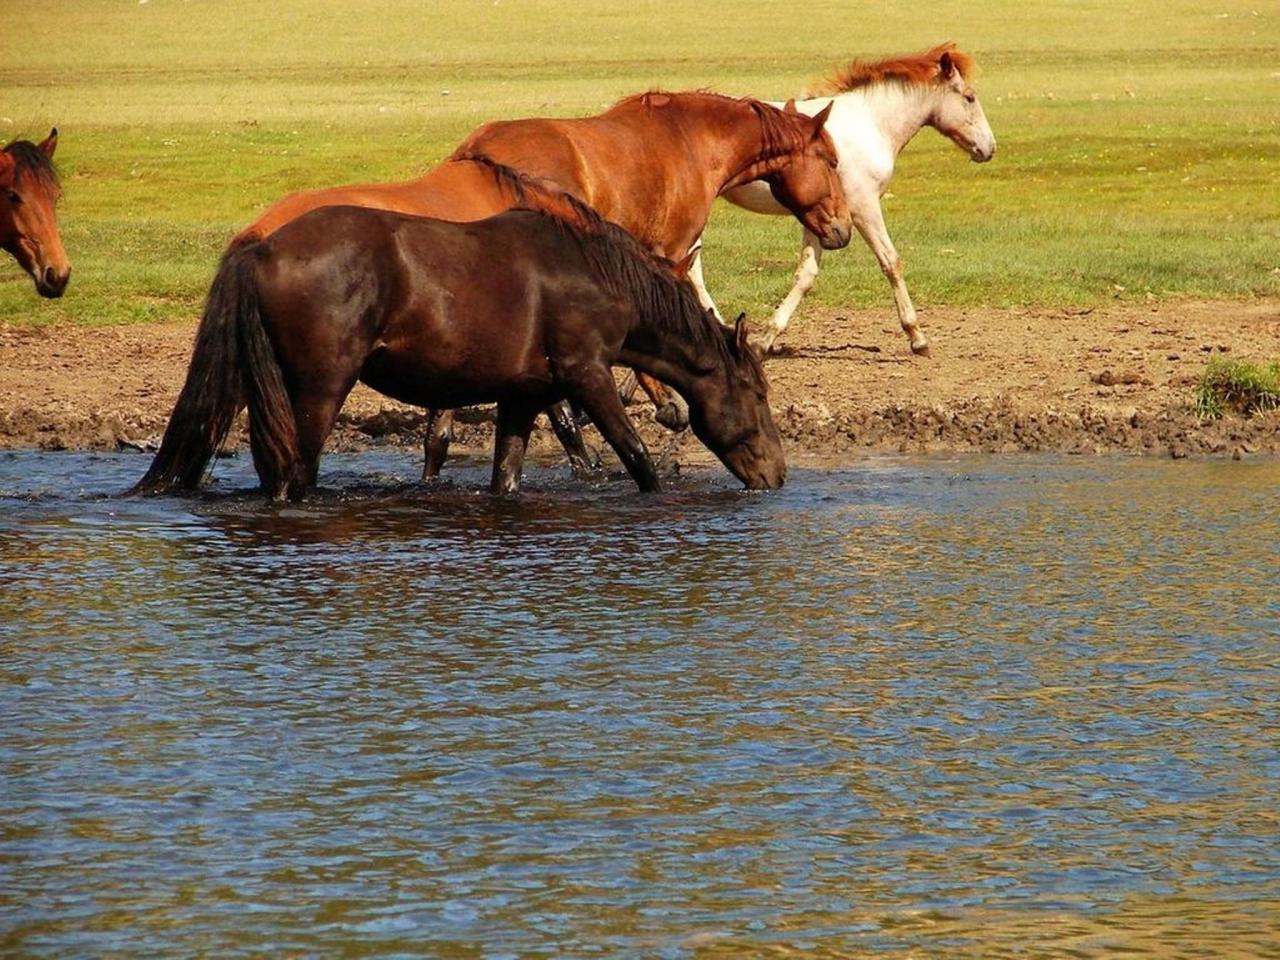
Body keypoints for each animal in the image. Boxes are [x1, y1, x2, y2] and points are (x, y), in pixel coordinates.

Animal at [135, 181, 783, 504]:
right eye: (758, 394)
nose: (777, 475)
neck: (595, 275)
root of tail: (264, 246)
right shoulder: (589, 376)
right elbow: (637, 456)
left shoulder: (524, 397)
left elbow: (507, 477)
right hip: (319, 392)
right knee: (296, 477)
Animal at [238, 90, 849, 478]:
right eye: (832, 160)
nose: (842, 228)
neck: (680, 142)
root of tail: (259, 235)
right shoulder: (666, 255)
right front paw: (659, 411)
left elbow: (445, 434)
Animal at [686, 45, 993, 358]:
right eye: (969, 97)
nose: (989, 148)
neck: (871, 123)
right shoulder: (863, 207)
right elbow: (891, 261)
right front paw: (917, 337)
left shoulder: (821, 217)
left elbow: (806, 274)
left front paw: (766, 339)